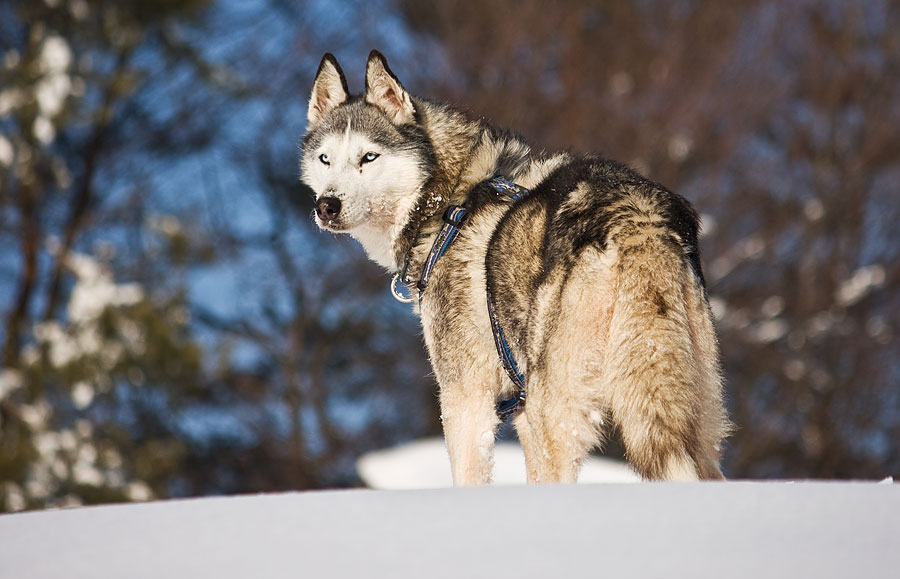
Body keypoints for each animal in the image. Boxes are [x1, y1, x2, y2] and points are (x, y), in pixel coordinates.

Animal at [302, 51, 732, 484]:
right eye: (325, 159)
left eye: (368, 157)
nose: (327, 205)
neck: (447, 202)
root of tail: (637, 214)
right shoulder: (517, 409)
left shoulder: (466, 397)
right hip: (697, 418)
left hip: (555, 415)